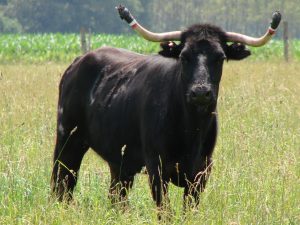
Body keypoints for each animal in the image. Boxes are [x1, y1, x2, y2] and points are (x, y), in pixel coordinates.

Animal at [51, 24, 251, 207]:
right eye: (184, 57)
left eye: (220, 57)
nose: (201, 92)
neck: (191, 130)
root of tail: (79, 60)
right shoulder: (157, 167)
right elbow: (165, 211)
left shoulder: (202, 170)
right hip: (68, 141)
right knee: (61, 185)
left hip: (119, 161)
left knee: (116, 197)